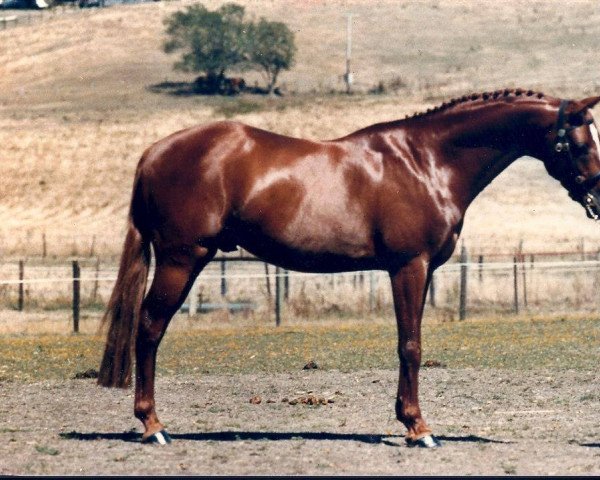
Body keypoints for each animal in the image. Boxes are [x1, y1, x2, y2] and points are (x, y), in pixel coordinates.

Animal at [96, 89, 600, 446]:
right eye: (579, 142)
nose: (597, 194)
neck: (425, 162)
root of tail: (154, 152)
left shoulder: (420, 271)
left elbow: (410, 343)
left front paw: (407, 420)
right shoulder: (408, 267)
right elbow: (410, 346)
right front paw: (419, 429)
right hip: (183, 259)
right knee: (149, 327)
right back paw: (153, 425)